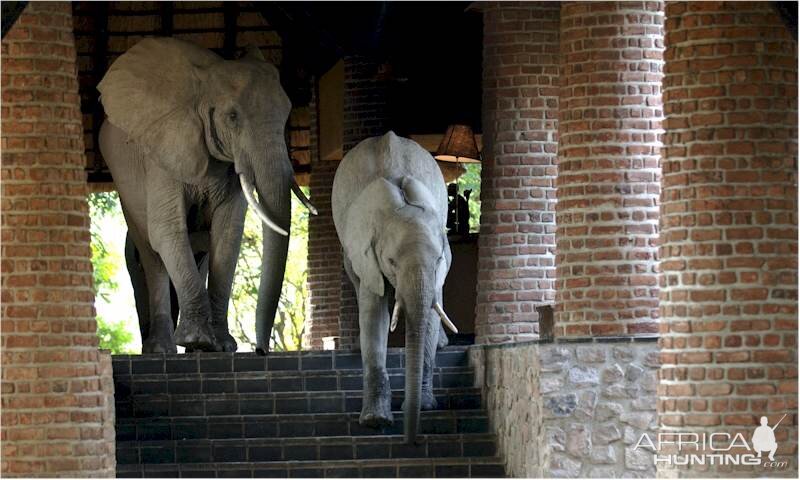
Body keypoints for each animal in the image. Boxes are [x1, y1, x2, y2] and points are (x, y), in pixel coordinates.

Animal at [97, 38, 316, 352]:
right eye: (232, 117)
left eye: (287, 114)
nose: (261, 350)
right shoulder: (163, 149)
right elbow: (166, 230)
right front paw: (199, 341)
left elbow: (228, 233)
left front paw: (220, 346)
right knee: (152, 253)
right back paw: (161, 349)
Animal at [332, 130, 456, 442]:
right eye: (390, 261)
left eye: (438, 258)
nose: (411, 441)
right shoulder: (366, 251)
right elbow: (374, 314)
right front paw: (376, 421)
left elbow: (431, 315)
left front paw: (424, 406)